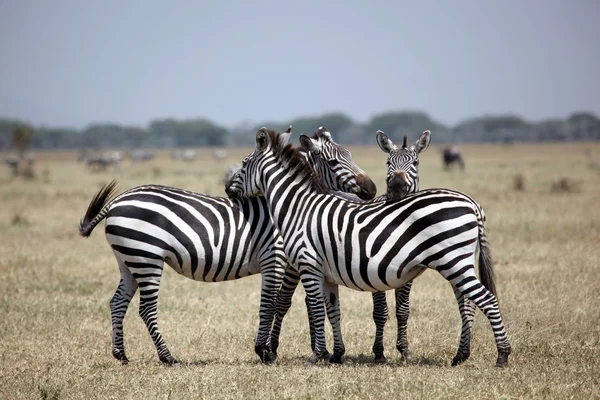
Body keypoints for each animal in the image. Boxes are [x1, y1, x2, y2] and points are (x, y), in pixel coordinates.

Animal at [76, 126, 376, 366]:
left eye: (350, 154)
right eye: (334, 161)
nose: (372, 189)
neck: (290, 205)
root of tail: (117, 201)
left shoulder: (296, 261)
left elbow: (292, 302)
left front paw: (286, 349)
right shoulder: (277, 259)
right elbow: (274, 302)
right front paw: (267, 351)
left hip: (129, 260)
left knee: (117, 303)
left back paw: (121, 355)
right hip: (146, 258)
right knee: (146, 309)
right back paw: (167, 357)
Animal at [225, 130, 510, 368]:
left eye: (244, 164)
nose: (227, 188)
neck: (299, 207)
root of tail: (472, 203)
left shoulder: (308, 265)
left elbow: (315, 309)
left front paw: (317, 356)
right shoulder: (326, 274)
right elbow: (332, 311)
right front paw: (335, 354)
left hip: (453, 261)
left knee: (487, 300)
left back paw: (502, 356)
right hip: (458, 262)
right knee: (468, 303)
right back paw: (460, 356)